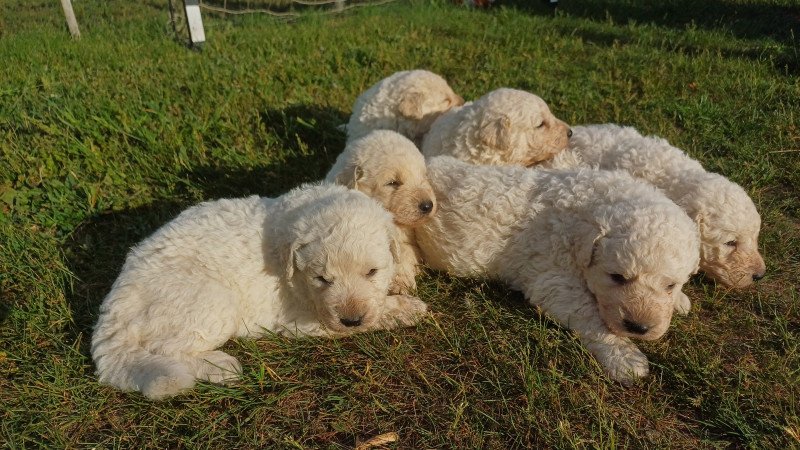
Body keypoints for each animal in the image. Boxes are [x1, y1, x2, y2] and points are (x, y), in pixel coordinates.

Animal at [90, 183, 428, 400]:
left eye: (371, 272)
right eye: (322, 279)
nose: (351, 320)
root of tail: (113, 312)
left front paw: (401, 279)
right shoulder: (300, 319)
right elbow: (373, 316)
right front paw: (406, 309)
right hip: (211, 301)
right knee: (167, 349)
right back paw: (219, 366)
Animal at [418, 157, 700, 384]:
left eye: (670, 285)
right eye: (617, 277)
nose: (639, 328)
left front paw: (680, 301)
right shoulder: (553, 277)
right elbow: (590, 315)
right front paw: (626, 358)